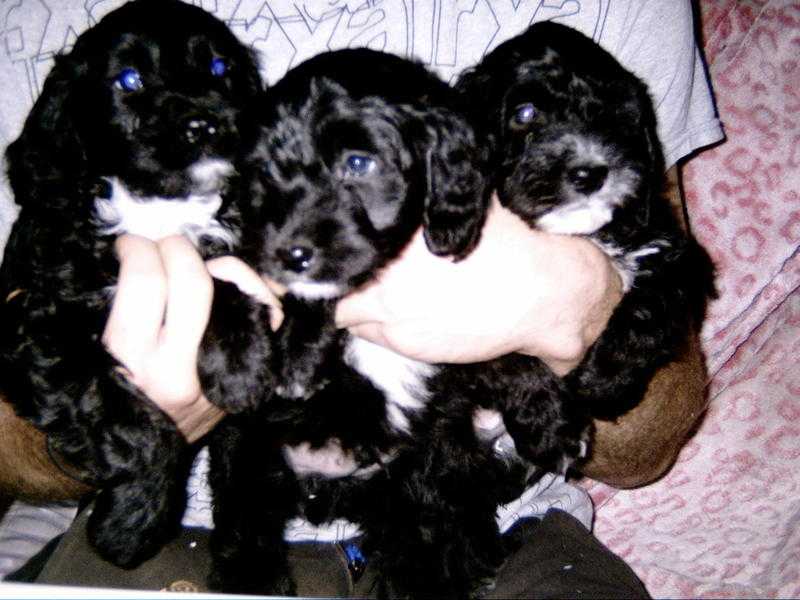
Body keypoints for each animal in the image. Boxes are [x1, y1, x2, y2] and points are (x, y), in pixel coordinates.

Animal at [0, 0, 272, 568]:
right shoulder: (40, 330)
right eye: (129, 80)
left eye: (220, 69)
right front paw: (128, 527)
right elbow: (137, 426)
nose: (205, 123)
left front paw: (240, 360)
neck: (158, 211)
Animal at [456, 21, 720, 432]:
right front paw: (551, 422)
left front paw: (602, 385)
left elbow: (649, 309)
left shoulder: (674, 252)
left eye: (614, 114)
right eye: (525, 113)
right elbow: (502, 356)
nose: (591, 173)